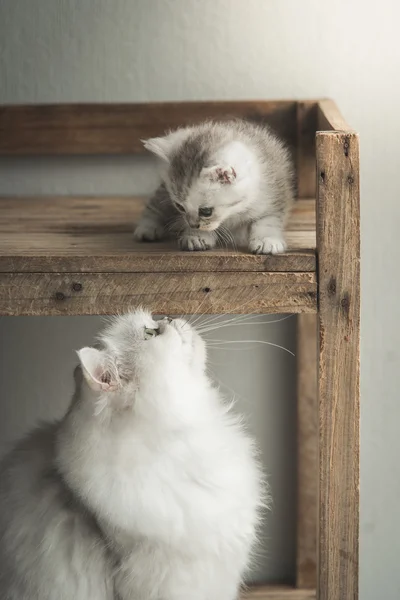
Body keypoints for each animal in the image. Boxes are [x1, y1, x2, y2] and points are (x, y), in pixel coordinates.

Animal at [136, 119, 296, 253]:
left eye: (206, 211)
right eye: (180, 207)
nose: (193, 225)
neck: (234, 212)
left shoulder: (275, 194)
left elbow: (268, 219)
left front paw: (267, 240)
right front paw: (197, 236)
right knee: (155, 205)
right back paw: (147, 228)